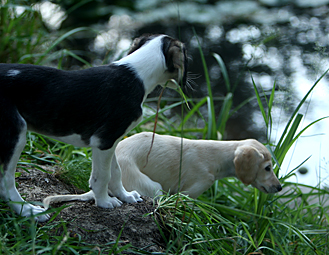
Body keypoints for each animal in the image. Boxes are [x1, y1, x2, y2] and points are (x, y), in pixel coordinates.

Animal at [0, 33, 187, 221]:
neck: (137, 74)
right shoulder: (104, 140)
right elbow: (103, 176)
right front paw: (104, 202)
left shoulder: (111, 142)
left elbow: (116, 172)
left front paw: (125, 196)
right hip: (16, 133)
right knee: (5, 182)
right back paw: (28, 211)